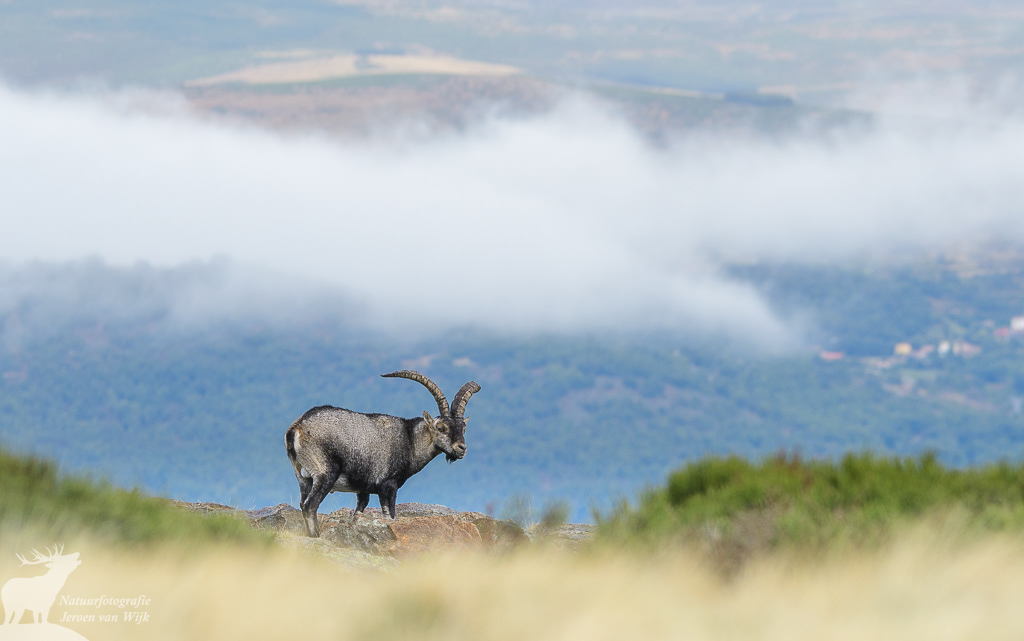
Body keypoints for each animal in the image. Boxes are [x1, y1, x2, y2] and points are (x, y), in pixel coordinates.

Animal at [285, 370, 480, 537]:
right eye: (441, 428)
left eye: (463, 427)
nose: (461, 448)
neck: (409, 439)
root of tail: (297, 428)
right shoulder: (388, 485)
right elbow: (389, 515)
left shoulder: (363, 488)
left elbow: (359, 510)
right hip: (324, 472)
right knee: (310, 505)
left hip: (303, 477)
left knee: (303, 503)